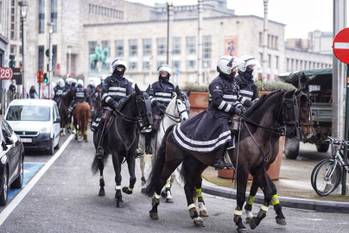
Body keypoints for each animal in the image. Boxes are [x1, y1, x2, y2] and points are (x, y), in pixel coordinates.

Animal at [144, 88, 310, 232]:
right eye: (290, 105)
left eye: (306, 108)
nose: (297, 132)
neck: (256, 132)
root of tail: (175, 127)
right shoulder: (244, 168)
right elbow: (242, 194)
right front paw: (240, 221)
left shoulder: (259, 167)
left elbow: (269, 190)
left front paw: (257, 219)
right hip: (173, 160)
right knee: (162, 179)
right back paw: (154, 210)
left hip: (197, 163)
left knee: (189, 185)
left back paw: (195, 215)